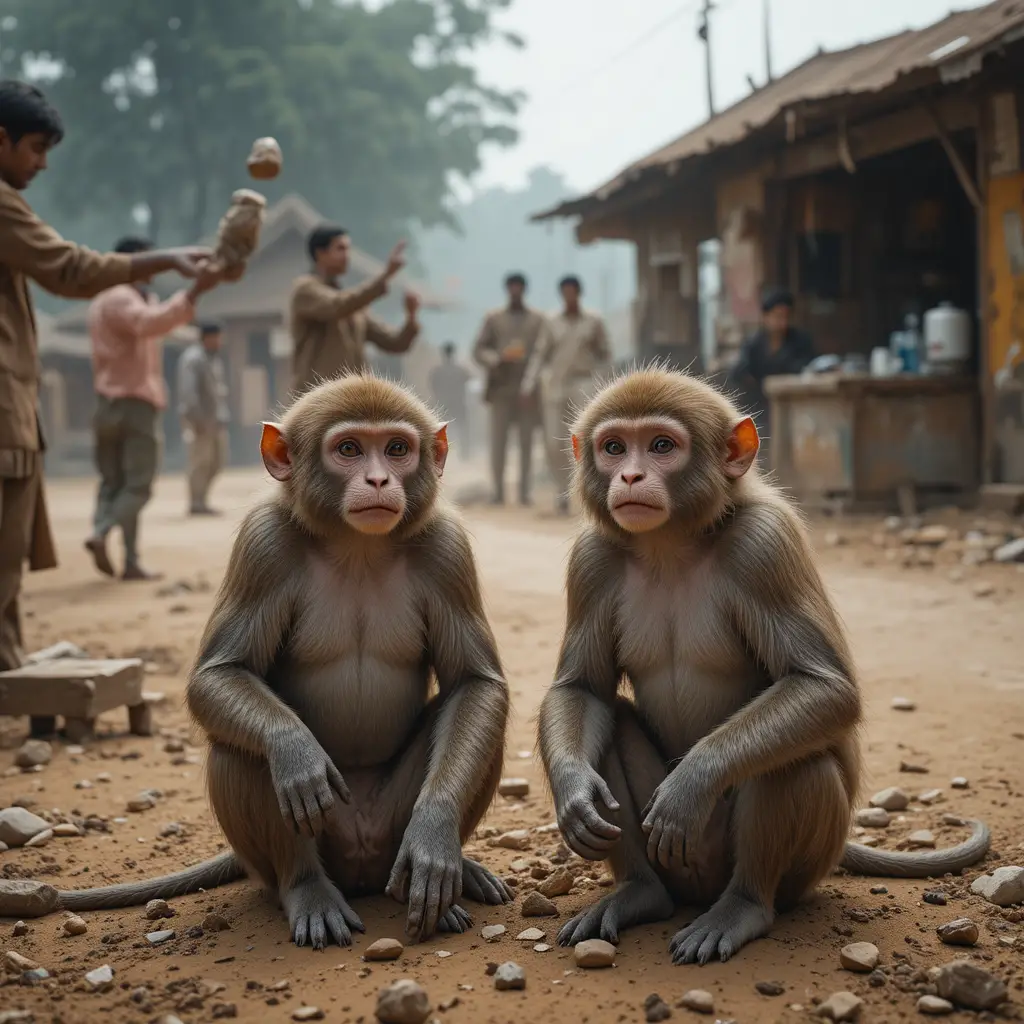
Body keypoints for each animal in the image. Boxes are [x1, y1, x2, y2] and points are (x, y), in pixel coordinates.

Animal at [26, 374, 513, 948]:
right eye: (349, 449)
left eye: (397, 449)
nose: (377, 479)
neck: (358, 547)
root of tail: (365, 863)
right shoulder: (264, 543)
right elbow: (221, 677)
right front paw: (295, 750)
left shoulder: (446, 548)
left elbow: (475, 683)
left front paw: (435, 834)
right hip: (315, 844)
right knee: (242, 750)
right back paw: (306, 887)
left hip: (391, 834)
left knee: (475, 721)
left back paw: (459, 873)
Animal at [537, 367, 990, 966]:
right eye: (614, 448)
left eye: (661, 446)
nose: (630, 475)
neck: (671, 545)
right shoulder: (591, 560)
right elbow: (584, 689)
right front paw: (574, 792)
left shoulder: (765, 545)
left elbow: (822, 688)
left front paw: (693, 781)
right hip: (679, 866)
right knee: (612, 722)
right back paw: (640, 893)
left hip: (793, 867)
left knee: (793, 756)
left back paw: (743, 906)